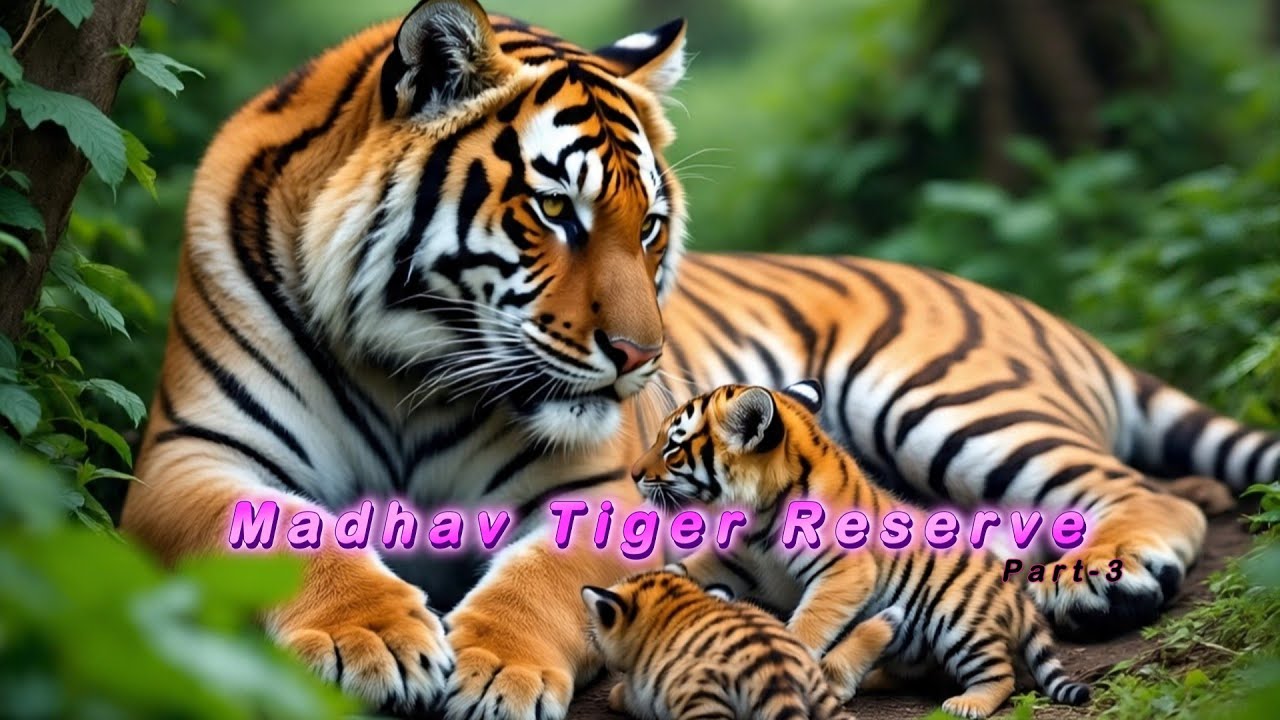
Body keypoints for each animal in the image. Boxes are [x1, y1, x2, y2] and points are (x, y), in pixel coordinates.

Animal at [582, 569, 896, 720]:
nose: (591, 638)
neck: (673, 604)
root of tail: (780, 670)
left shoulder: (643, 689)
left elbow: (624, 695)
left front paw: (614, 695)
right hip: (823, 699)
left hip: (703, 703)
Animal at [632, 381, 1093, 718]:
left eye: (673, 448)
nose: (634, 474)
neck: (760, 511)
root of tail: (1017, 596)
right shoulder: (739, 561)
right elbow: (692, 568)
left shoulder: (845, 571)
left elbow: (809, 624)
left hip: (960, 621)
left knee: (1000, 673)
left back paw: (968, 704)